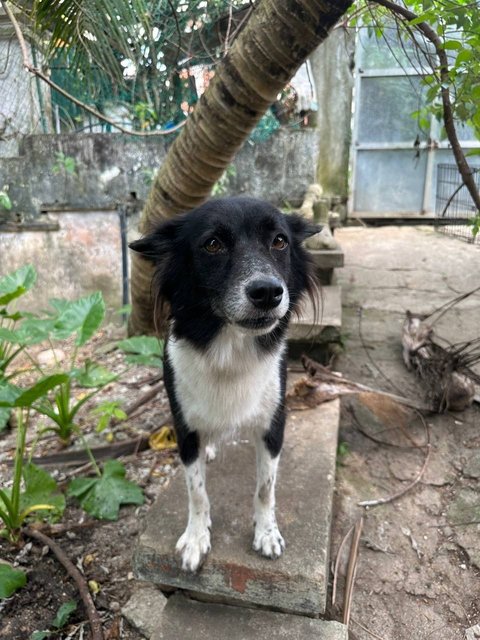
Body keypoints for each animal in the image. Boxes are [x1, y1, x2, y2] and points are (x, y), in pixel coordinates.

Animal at [131, 198, 316, 572]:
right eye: (212, 244)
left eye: (279, 241)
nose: (268, 292)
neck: (230, 351)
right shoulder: (185, 428)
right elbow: (196, 490)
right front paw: (196, 537)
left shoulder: (273, 424)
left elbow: (265, 488)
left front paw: (266, 532)